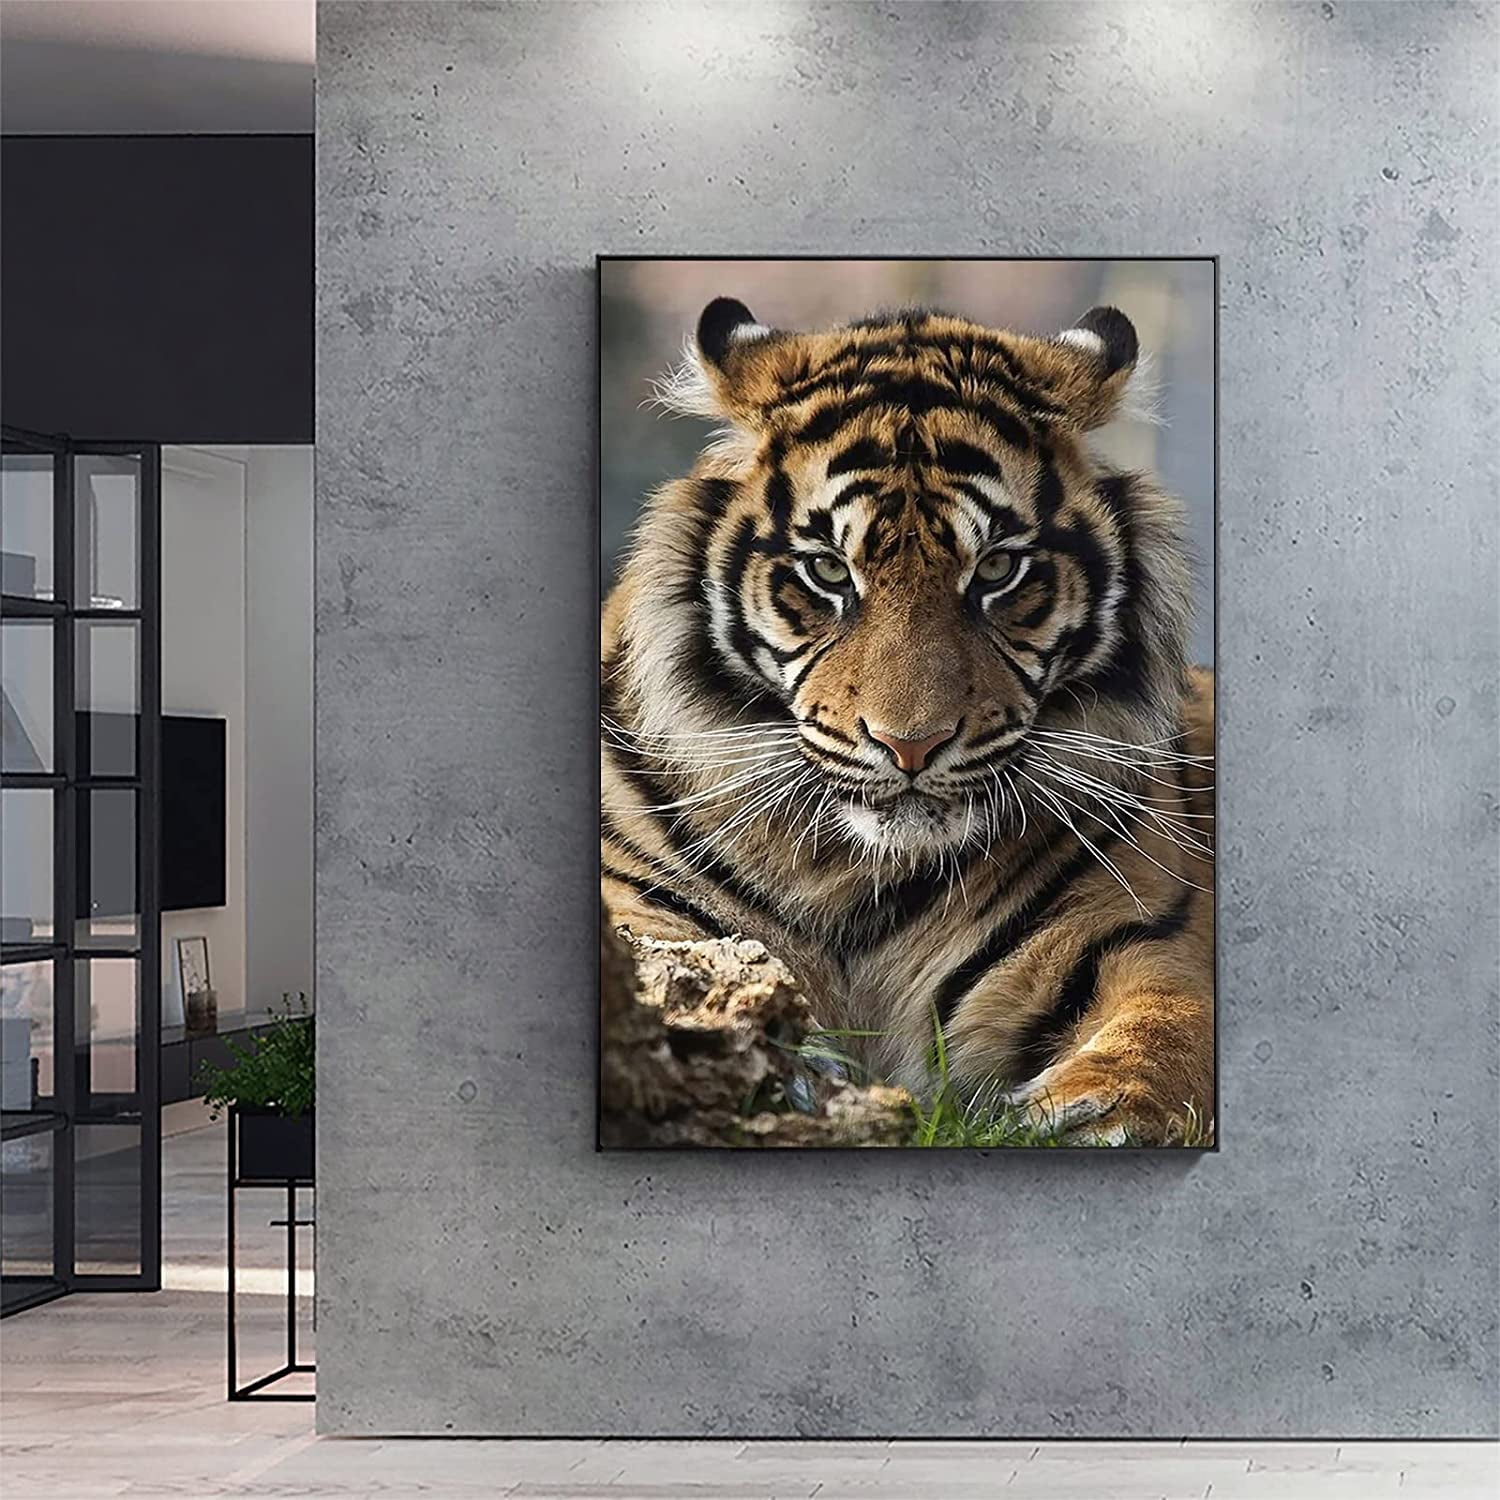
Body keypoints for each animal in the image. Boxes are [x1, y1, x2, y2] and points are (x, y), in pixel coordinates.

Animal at [601, 295, 1214, 1146]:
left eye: (998, 569)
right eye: (828, 571)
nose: (911, 745)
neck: (852, 874)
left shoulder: (1141, 934)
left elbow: (1170, 1028)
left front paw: (1094, 1112)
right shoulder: (634, 907)